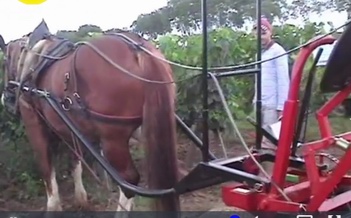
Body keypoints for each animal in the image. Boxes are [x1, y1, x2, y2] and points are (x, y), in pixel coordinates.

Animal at [0, 20, 180, 213]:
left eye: (4, 62)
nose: (6, 98)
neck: (31, 58)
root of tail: (138, 49)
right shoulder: (71, 128)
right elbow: (76, 162)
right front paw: (81, 199)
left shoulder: (33, 122)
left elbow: (46, 168)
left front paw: (53, 206)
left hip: (112, 139)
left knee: (129, 181)